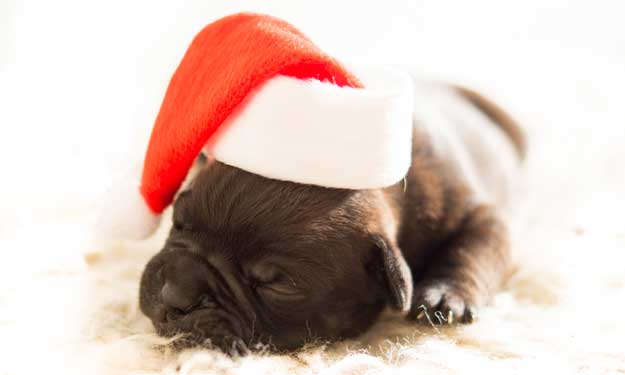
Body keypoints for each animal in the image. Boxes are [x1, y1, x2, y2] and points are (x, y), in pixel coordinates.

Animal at [139, 81, 524, 356]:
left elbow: (474, 248)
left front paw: (446, 294)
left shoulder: (474, 211)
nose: (175, 295)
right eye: (179, 222)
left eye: (276, 284)